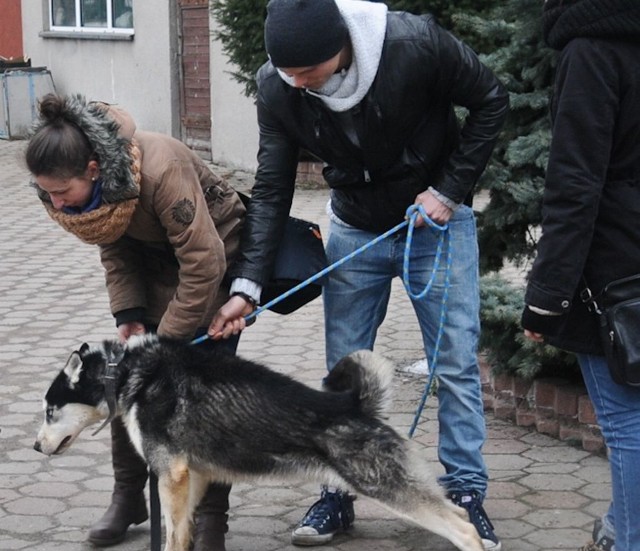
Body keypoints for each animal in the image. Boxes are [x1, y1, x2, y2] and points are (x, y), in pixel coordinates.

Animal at [35, 336, 482, 551]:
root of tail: (354, 404)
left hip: (387, 487)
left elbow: (171, 536)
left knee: (464, 528)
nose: (37, 447)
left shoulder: (170, 476)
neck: (128, 372)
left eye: (49, 410)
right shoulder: (192, 476)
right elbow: (185, 533)